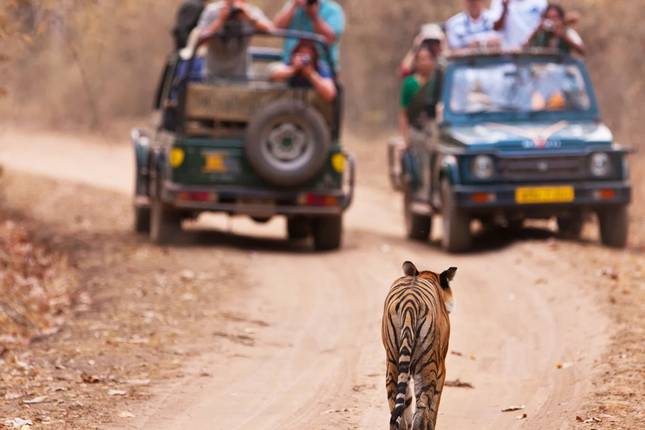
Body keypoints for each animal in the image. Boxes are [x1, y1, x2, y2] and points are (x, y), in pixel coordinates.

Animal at [381, 261, 457, 430]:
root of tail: (409, 302)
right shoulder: (441, 368)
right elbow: (434, 406)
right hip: (427, 364)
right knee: (421, 410)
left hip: (393, 362)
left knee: (395, 408)